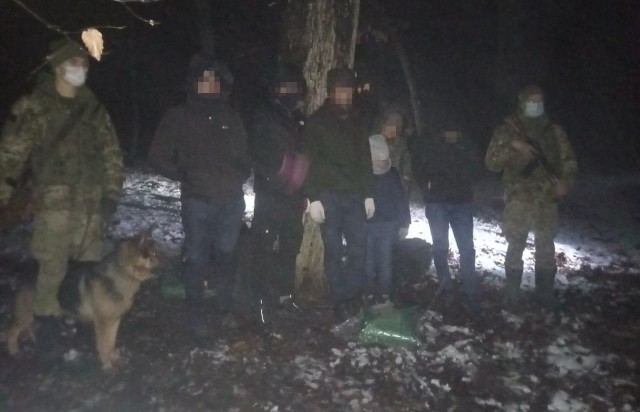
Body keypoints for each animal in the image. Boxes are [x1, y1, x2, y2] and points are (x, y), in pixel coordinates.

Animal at [6, 230, 164, 371]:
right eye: (154, 254)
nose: (166, 262)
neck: (122, 273)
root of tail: (24, 269)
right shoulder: (102, 322)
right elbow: (104, 344)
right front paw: (107, 365)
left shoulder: (114, 320)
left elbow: (111, 343)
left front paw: (114, 358)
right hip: (24, 314)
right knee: (12, 330)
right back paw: (14, 351)